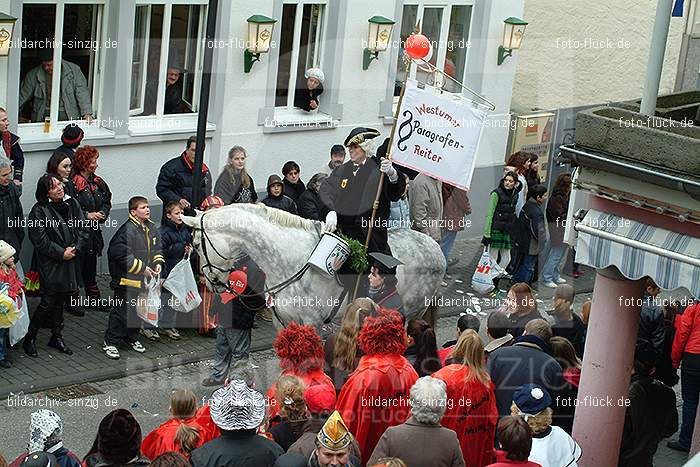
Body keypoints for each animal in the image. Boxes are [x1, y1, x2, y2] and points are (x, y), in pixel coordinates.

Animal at [180, 205, 442, 330]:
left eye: (196, 244)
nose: (209, 282)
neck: (290, 261)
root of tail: (434, 247)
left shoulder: (312, 323)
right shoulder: (281, 322)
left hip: (411, 312)